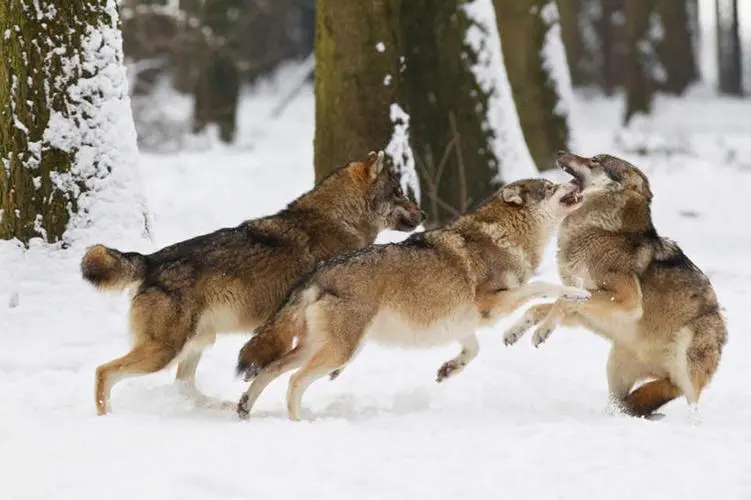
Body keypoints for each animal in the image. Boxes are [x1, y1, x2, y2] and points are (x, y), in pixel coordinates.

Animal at [82, 150, 426, 416]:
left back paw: (220, 406)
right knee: (104, 371)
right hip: (164, 352)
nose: (423, 214)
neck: (339, 220)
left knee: (182, 385)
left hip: (196, 343)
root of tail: (150, 259)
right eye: (398, 192)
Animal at [238, 178, 592, 420]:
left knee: (269, 370)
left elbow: (473, 350)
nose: (576, 180)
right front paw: (577, 292)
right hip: (338, 352)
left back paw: (243, 409)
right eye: (549, 186)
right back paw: (299, 423)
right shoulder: (491, 305)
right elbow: (543, 286)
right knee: (294, 381)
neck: (505, 236)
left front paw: (449, 369)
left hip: (319, 347)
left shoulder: (463, 321)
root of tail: (318, 273)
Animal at [506, 152, 728, 418]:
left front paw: (542, 330)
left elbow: (560, 302)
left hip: (686, 362)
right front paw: (516, 330)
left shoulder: (626, 300)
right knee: (623, 403)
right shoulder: (586, 311)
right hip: (616, 366)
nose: (559, 153)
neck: (598, 230)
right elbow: (542, 307)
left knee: (687, 399)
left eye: (595, 161)